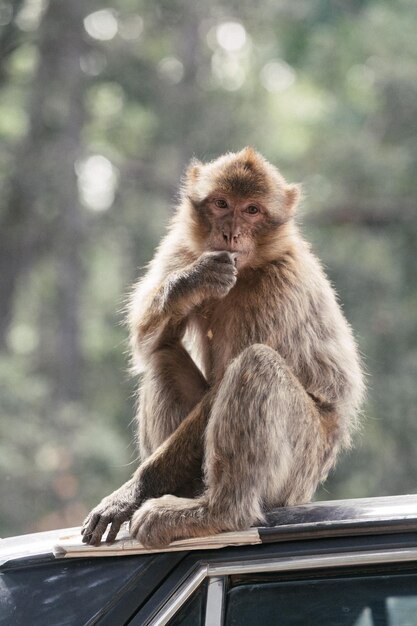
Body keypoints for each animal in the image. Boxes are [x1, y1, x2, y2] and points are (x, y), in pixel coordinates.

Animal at [81, 146, 364, 544]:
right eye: (221, 203)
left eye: (252, 210)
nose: (230, 233)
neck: (250, 268)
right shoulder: (181, 247)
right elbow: (147, 340)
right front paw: (191, 281)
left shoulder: (277, 289)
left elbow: (227, 379)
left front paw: (135, 491)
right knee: (162, 357)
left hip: (302, 464)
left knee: (256, 364)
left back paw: (218, 511)